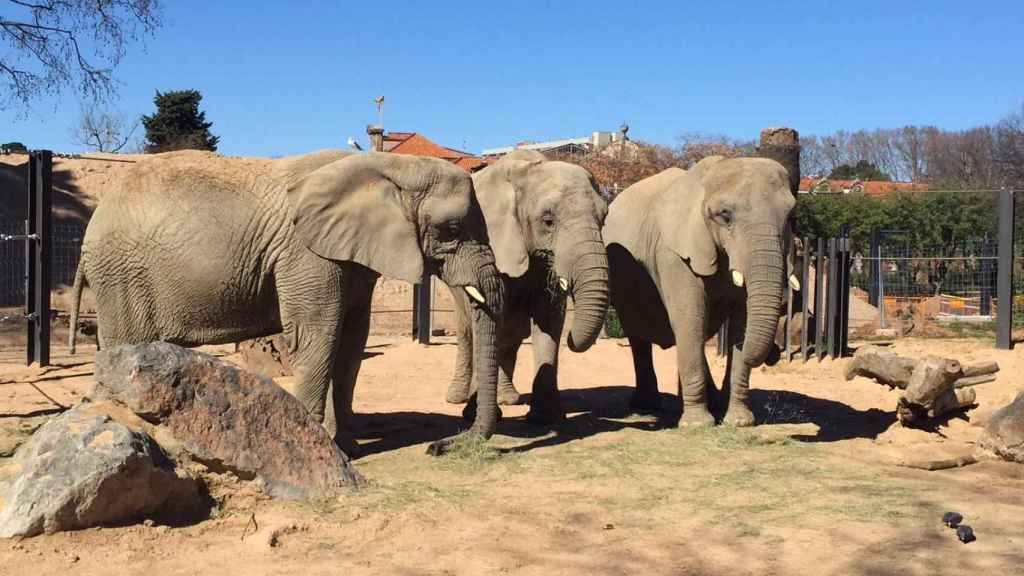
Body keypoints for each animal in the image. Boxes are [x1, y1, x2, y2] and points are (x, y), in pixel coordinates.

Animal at [66, 148, 505, 453]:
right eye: (451, 230)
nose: (438, 446)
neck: (389, 165)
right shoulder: (306, 255)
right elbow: (318, 335)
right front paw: (321, 443)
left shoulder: (349, 257)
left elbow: (352, 339)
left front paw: (346, 445)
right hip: (123, 278)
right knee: (123, 347)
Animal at [442, 150, 606, 420]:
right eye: (548, 221)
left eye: (603, 219)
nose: (572, 339)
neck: (526, 172)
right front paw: (473, 414)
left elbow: (549, 318)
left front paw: (546, 418)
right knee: (468, 330)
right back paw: (457, 398)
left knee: (512, 333)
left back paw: (508, 398)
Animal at [602, 154, 794, 424]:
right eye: (724, 216)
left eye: (790, 216)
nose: (774, 355)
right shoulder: (673, 254)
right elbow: (689, 317)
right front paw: (697, 423)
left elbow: (742, 321)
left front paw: (739, 421)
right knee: (639, 335)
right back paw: (646, 406)